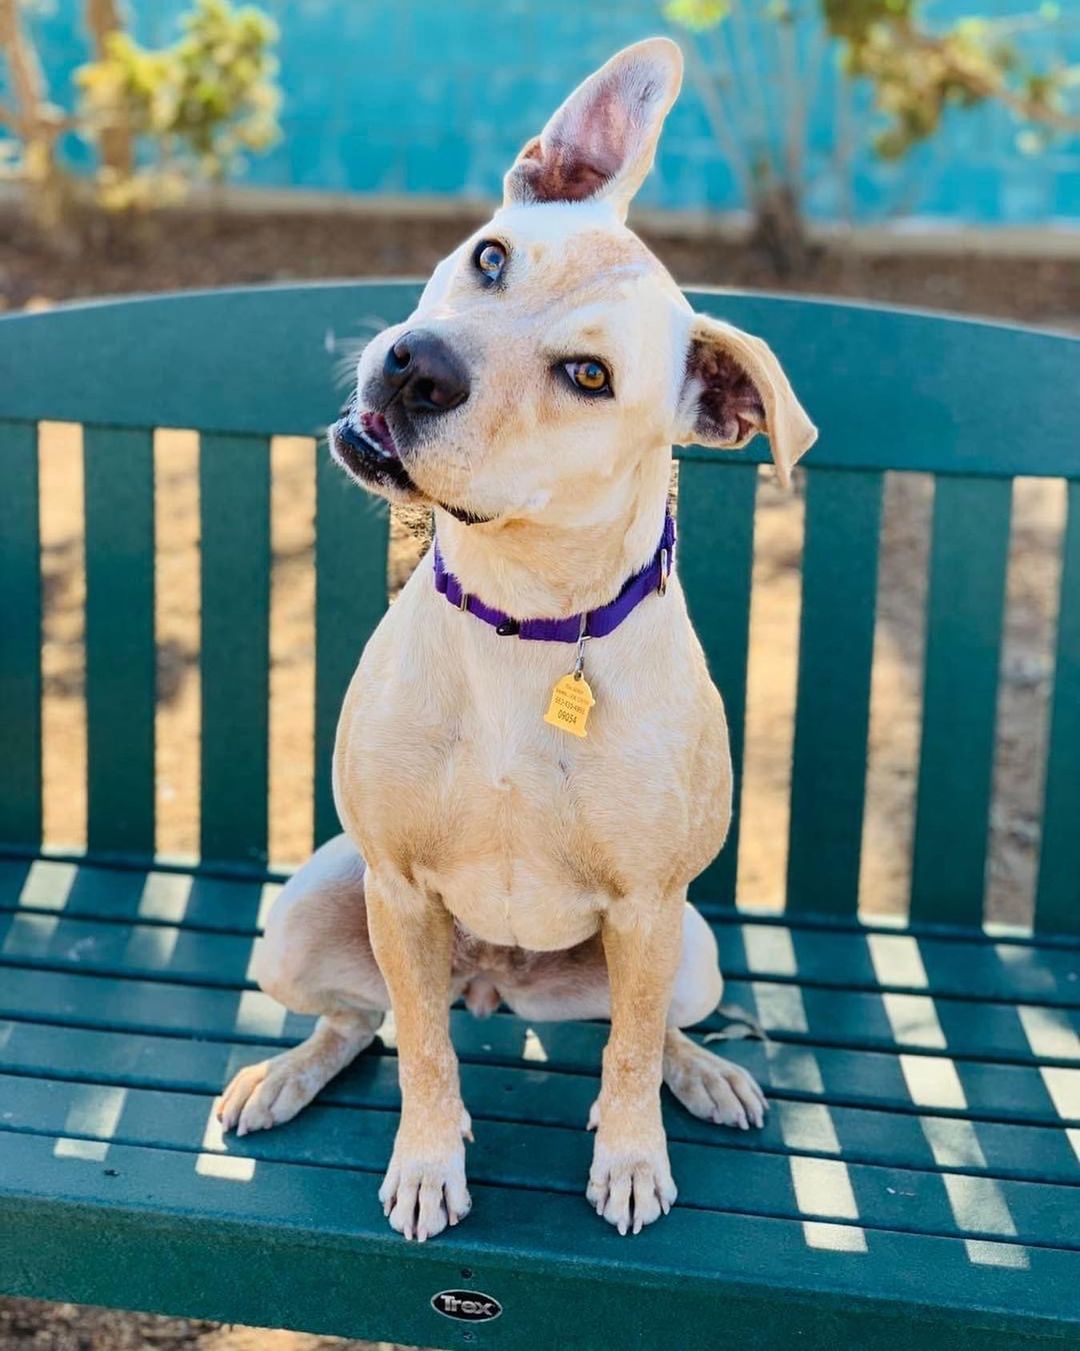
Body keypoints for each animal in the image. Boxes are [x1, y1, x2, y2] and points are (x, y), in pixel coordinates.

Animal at [214, 36, 816, 1237]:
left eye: (589, 376)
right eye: (490, 258)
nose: (416, 363)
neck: (524, 617)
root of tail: (494, 980)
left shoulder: (648, 909)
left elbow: (625, 1056)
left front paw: (630, 1156)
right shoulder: (398, 889)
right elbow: (423, 1054)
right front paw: (427, 1158)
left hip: (694, 948)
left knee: (651, 1026)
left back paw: (705, 1074)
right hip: (302, 918)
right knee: (367, 1021)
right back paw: (285, 1075)